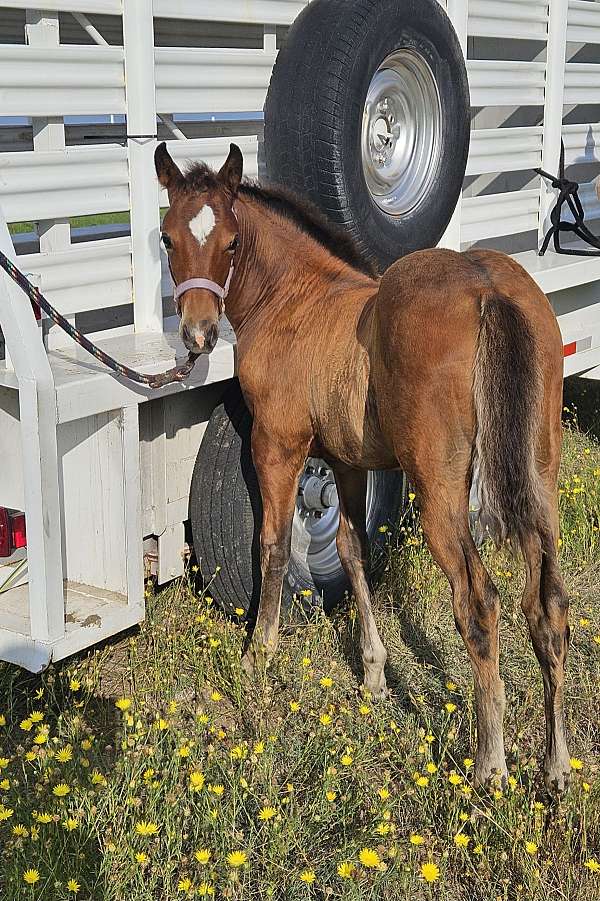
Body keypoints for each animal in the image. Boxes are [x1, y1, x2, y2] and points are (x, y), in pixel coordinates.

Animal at [155, 141, 570, 792]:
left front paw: (258, 654)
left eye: (231, 242)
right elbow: (352, 550)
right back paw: (555, 764)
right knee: (548, 602)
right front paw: (373, 673)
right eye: (169, 238)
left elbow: (273, 546)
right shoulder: (346, 462)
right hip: (538, 473)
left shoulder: (277, 444)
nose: (198, 333)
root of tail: (487, 287)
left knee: (479, 602)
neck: (293, 297)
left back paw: (491, 762)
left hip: (440, 488)